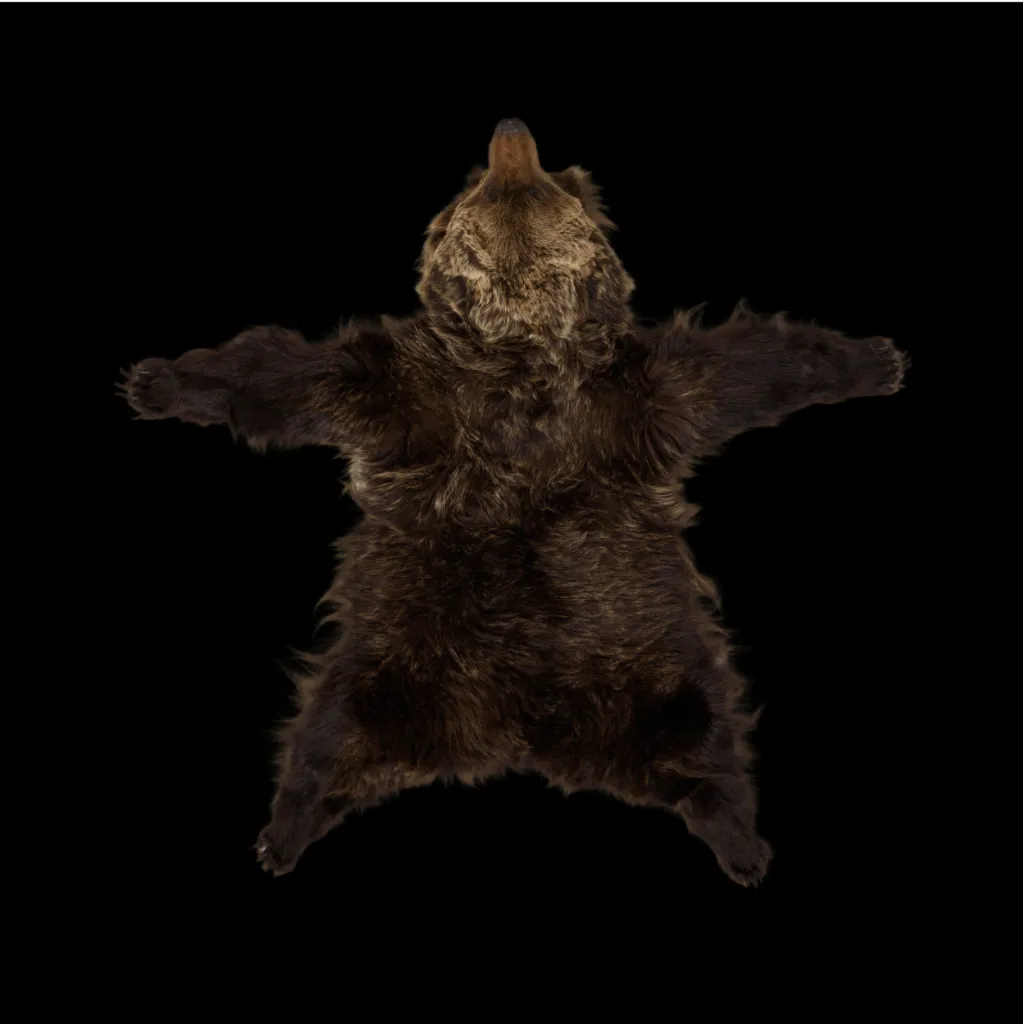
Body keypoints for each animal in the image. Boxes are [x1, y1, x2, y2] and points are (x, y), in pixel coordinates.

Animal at [119, 117, 907, 887]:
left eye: (554, 178)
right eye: (469, 188)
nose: (510, 129)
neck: (522, 358)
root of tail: (514, 729)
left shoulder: (645, 391)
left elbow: (749, 367)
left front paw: (873, 360)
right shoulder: (398, 389)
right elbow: (278, 377)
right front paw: (158, 381)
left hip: (653, 660)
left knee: (702, 734)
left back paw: (740, 841)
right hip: (386, 662)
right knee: (327, 737)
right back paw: (283, 833)